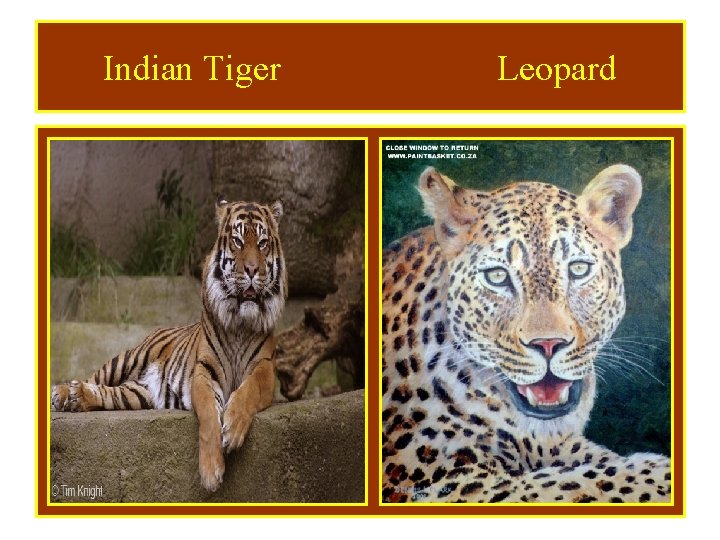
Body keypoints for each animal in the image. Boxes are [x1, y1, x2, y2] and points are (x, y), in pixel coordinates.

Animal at [51, 197, 287, 492]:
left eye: (263, 243)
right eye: (238, 241)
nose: (253, 271)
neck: (240, 323)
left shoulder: (265, 368)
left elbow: (248, 392)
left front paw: (232, 430)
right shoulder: (204, 373)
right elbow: (209, 416)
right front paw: (210, 474)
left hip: (138, 394)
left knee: (107, 393)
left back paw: (77, 397)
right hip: (128, 359)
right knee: (94, 378)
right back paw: (63, 393)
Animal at [382, 165, 671, 503]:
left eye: (578, 270)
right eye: (497, 276)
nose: (548, 344)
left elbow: (594, 465)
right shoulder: (442, 481)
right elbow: (575, 481)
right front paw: (657, 470)